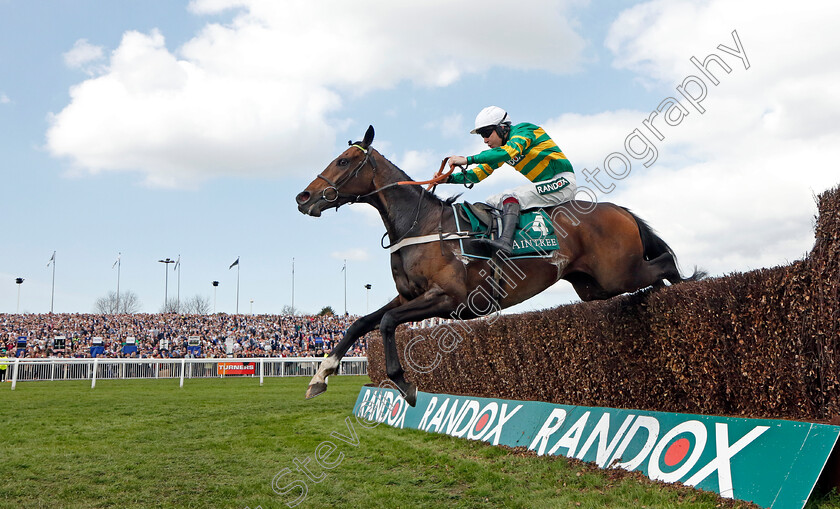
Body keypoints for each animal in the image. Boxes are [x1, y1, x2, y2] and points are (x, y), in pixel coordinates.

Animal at [296, 124, 704, 404]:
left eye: (343, 161)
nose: (304, 197)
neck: (421, 224)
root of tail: (618, 209)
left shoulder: (448, 298)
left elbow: (385, 323)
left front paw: (405, 384)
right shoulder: (409, 295)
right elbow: (361, 323)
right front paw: (320, 376)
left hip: (617, 273)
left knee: (666, 264)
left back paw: (684, 296)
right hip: (596, 286)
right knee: (653, 276)